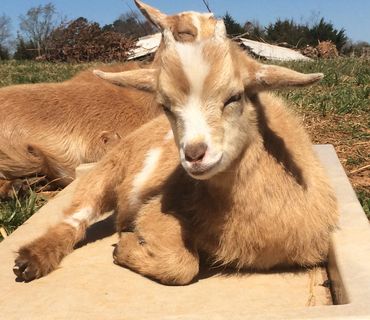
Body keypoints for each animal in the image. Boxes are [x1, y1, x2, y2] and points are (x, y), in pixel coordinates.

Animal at [13, 21, 338, 284]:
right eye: (166, 105)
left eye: (235, 97)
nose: (194, 155)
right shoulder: (157, 210)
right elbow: (183, 265)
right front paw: (125, 247)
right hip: (108, 169)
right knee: (76, 218)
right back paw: (31, 260)